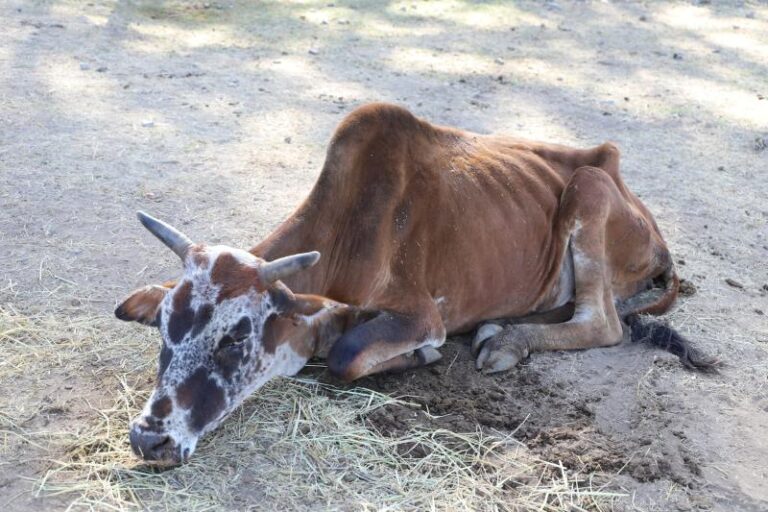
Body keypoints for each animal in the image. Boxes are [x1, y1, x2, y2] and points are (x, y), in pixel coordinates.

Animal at [115, 103, 716, 465]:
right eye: (165, 329)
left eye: (235, 337)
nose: (149, 437)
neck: (344, 231)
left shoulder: (420, 312)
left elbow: (346, 356)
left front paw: (418, 356)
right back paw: (500, 326)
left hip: (589, 189)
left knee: (604, 323)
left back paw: (507, 342)